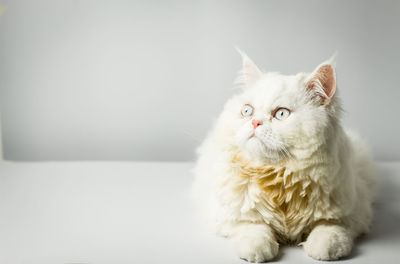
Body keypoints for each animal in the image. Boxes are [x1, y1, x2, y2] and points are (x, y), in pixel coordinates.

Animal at [192, 49, 376, 262]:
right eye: (247, 111)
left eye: (281, 114)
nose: (255, 122)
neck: (279, 180)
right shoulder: (226, 212)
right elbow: (252, 225)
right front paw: (258, 250)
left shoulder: (352, 210)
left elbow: (330, 228)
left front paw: (324, 249)